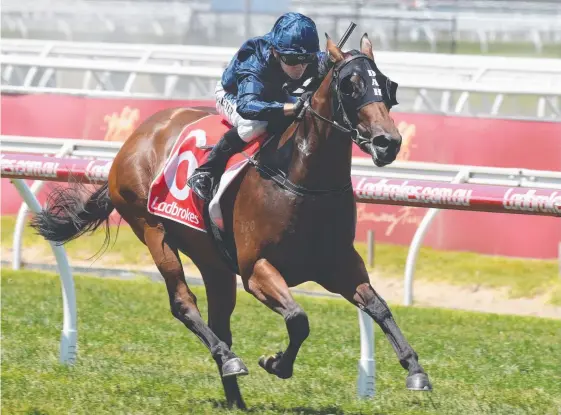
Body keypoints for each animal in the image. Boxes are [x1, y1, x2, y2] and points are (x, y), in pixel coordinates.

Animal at [31, 35, 428, 410]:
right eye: (350, 85)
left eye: (387, 85)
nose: (388, 142)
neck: (302, 179)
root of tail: (136, 138)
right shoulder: (256, 269)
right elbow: (298, 318)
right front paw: (275, 362)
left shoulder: (339, 263)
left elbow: (378, 306)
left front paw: (416, 370)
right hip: (152, 229)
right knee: (183, 302)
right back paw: (230, 359)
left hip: (214, 262)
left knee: (219, 321)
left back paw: (234, 393)